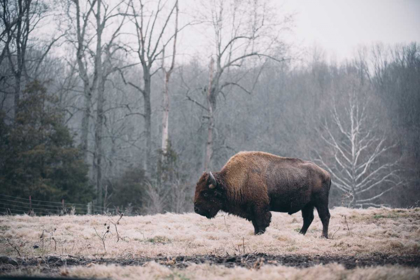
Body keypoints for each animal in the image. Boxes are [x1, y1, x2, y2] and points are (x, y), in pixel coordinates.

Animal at [194, 152, 332, 237]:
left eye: (205, 193)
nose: (196, 209)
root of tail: (326, 174)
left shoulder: (260, 208)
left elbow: (261, 223)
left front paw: (260, 234)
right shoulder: (252, 210)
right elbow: (255, 224)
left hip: (320, 201)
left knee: (324, 216)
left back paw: (323, 236)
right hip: (307, 204)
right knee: (308, 218)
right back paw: (300, 234)